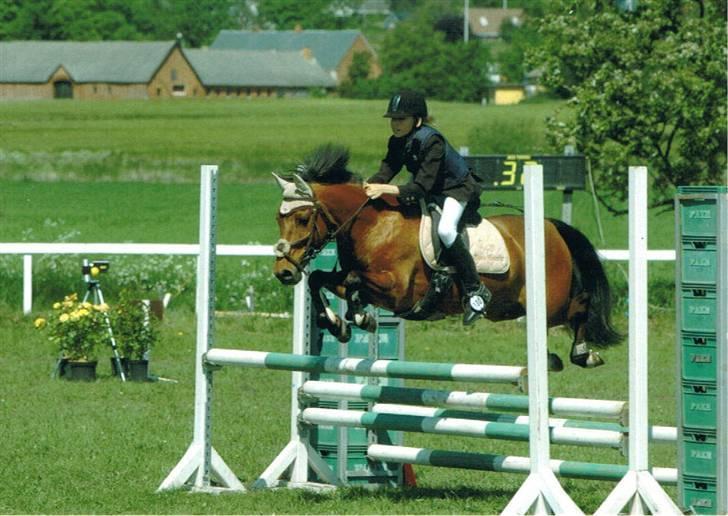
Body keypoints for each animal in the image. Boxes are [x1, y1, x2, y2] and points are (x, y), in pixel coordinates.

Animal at [272, 145, 622, 370]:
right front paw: (338, 324)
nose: (283, 272)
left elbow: (355, 281)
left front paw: (359, 318)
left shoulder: (398, 290)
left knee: (579, 307)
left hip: (551, 300)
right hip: (509, 305)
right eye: (279, 218)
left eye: (302, 218)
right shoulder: (357, 281)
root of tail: (551, 226)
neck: (373, 225)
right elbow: (321, 280)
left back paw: (583, 354)